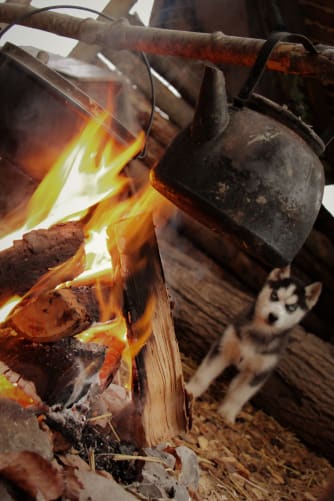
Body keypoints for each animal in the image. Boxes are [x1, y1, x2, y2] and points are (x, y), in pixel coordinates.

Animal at [187, 266, 322, 422]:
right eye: (274, 296)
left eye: (292, 307)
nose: (273, 316)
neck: (259, 333)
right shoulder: (222, 349)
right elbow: (203, 375)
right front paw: (191, 391)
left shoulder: (260, 372)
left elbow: (239, 395)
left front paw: (227, 413)